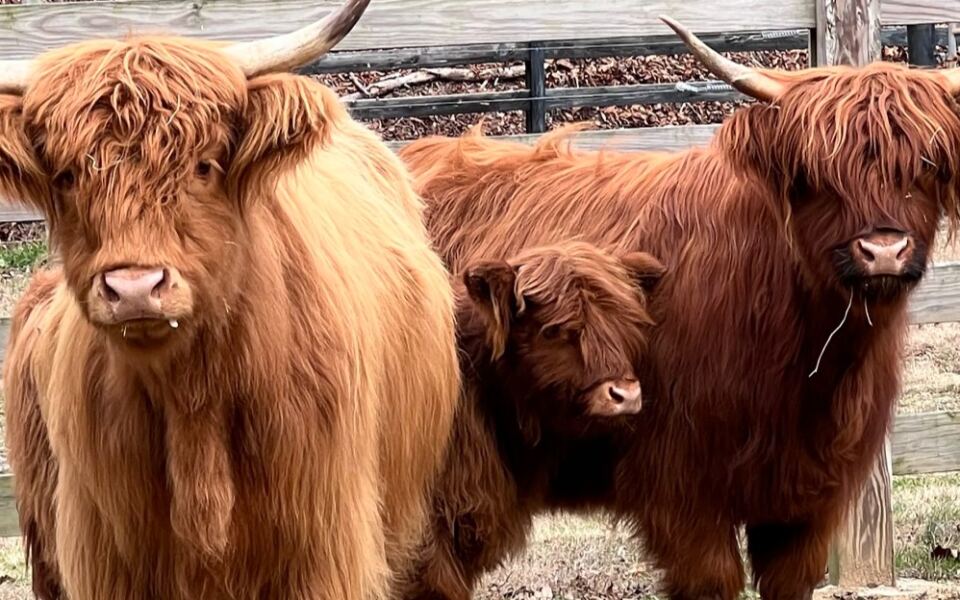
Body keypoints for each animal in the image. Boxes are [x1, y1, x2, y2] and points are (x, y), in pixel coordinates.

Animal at [0, 1, 462, 598]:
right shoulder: (108, 562)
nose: (135, 288)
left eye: (203, 165)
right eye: (67, 175)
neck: (193, 401)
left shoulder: (324, 551)